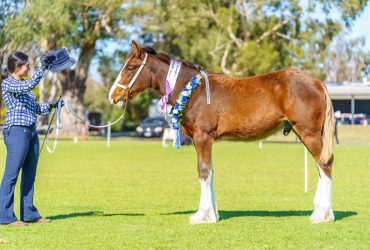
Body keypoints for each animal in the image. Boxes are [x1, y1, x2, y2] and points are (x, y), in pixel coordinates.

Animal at [109, 41, 336, 225]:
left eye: (131, 67)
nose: (113, 96)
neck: (193, 91)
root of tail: (318, 83)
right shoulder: (202, 140)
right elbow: (210, 172)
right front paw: (212, 214)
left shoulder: (202, 137)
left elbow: (203, 171)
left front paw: (202, 215)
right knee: (320, 167)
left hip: (309, 133)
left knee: (325, 164)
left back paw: (322, 215)